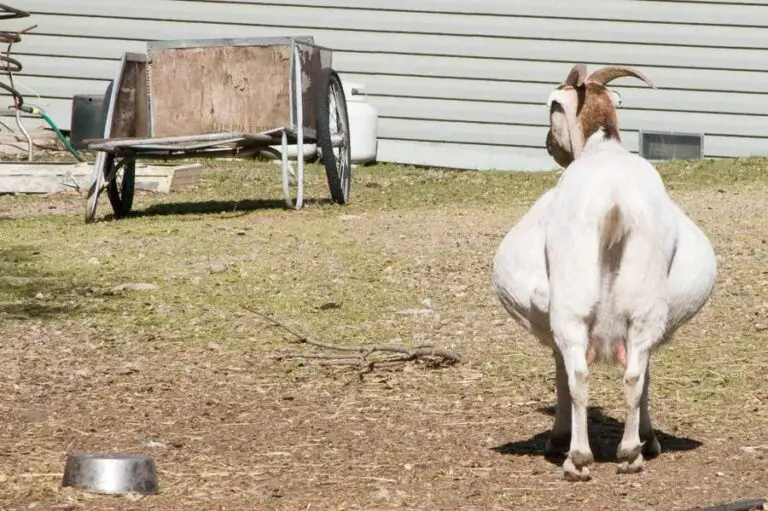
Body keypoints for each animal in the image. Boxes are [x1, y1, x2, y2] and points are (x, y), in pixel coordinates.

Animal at [492, 64, 717, 481]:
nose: (549, 145)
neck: (604, 147)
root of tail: (615, 204)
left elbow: (562, 373)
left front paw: (558, 439)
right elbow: (645, 373)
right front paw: (649, 439)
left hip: (572, 306)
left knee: (579, 376)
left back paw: (578, 459)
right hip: (645, 308)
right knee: (634, 375)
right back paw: (630, 453)